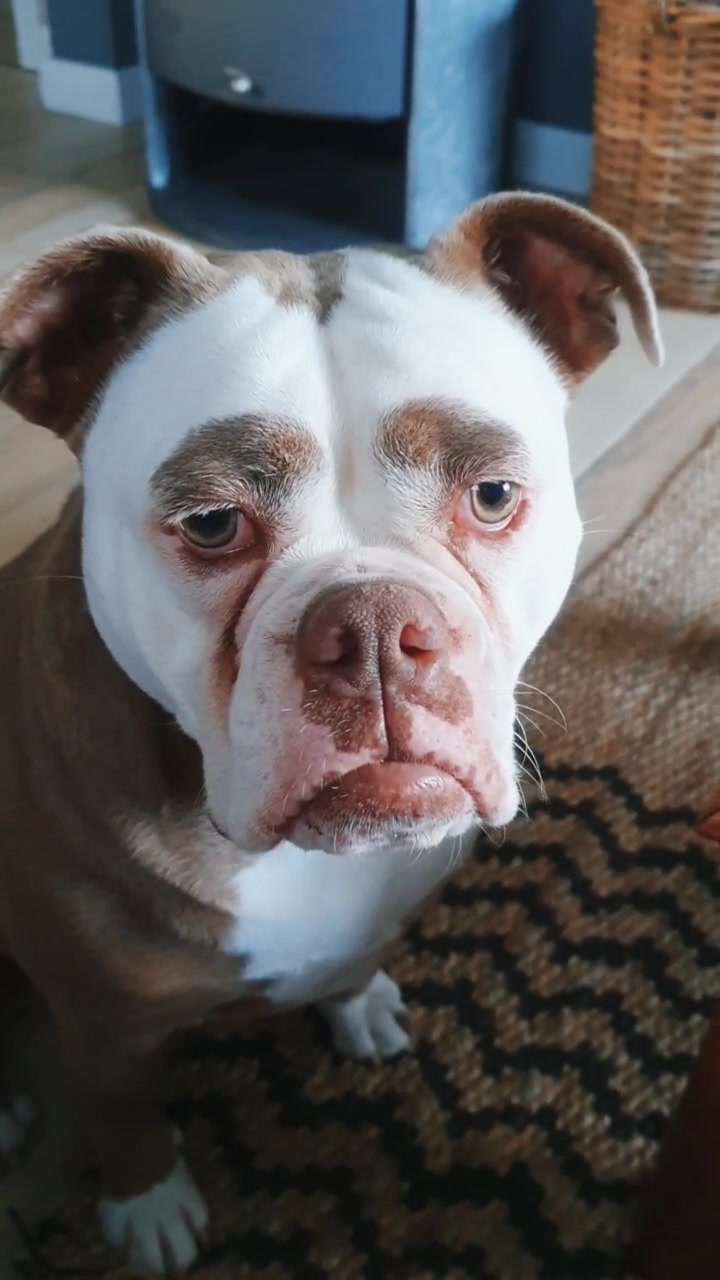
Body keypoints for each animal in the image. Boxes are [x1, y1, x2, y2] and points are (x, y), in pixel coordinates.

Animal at [0, 193, 661, 1273]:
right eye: (211, 521)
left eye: (492, 496)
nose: (375, 628)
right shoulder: (103, 1020)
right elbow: (125, 1111)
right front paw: (146, 1204)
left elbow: (352, 962)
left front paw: (359, 1003)